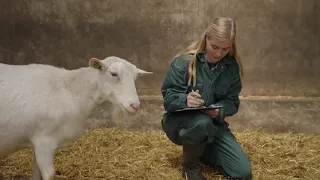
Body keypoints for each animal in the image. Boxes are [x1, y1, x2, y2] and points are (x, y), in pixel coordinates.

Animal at [0, 55, 152, 179]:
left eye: (135, 77)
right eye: (113, 74)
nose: (135, 106)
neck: (72, 90)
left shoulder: (37, 143)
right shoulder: (44, 142)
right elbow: (49, 175)